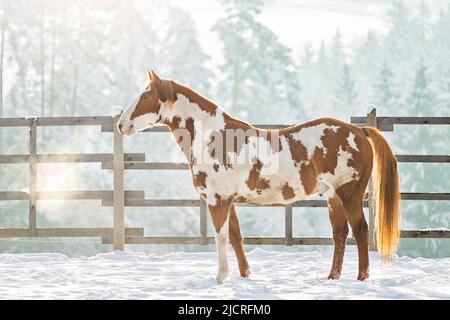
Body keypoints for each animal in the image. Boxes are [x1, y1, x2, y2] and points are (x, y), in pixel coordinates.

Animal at [117, 69, 400, 282]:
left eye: (145, 95)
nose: (121, 125)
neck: (213, 138)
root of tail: (360, 130)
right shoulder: (228, 201)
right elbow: (235, 237)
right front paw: (244, 275)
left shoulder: (217, 200)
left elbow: (220, 237)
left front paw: (221, 277)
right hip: (333, 197)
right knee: (340, 234)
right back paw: (332, 277)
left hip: (349, 193)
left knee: (360, 231)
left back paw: (361, 278)